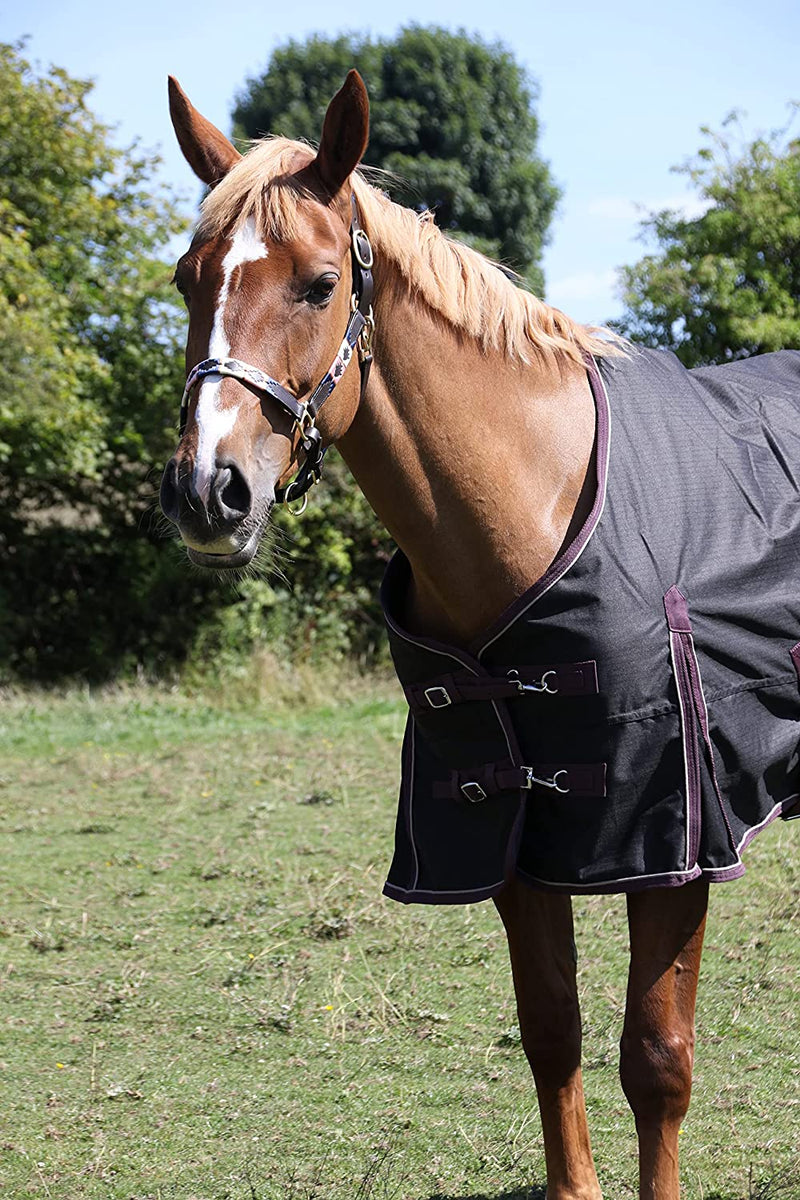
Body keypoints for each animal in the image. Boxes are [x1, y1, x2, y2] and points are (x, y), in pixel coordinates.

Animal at [159, 70, 800, 1200]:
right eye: (189, 280)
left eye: (319, 284)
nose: (207, 492)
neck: (530, 502)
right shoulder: (504, 832)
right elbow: (551, 1033)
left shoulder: (676, 840)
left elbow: (656, 1059)